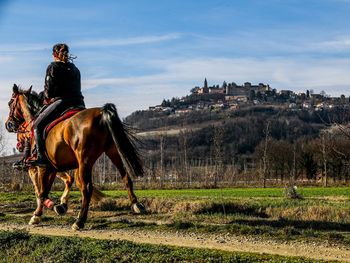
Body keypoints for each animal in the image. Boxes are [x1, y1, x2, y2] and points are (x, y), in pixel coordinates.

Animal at [5, 85, 145, 231]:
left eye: (10, 103)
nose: (8, 124)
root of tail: (101, 113)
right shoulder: (51, 168)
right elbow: (46, 190)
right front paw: (55, 207)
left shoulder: (41, 167)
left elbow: (41, 192)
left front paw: (43, 212)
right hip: (113, 152)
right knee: (125, 177)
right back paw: (136, 204)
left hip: (85, 160)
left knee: (86, 188)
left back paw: (79, 220)